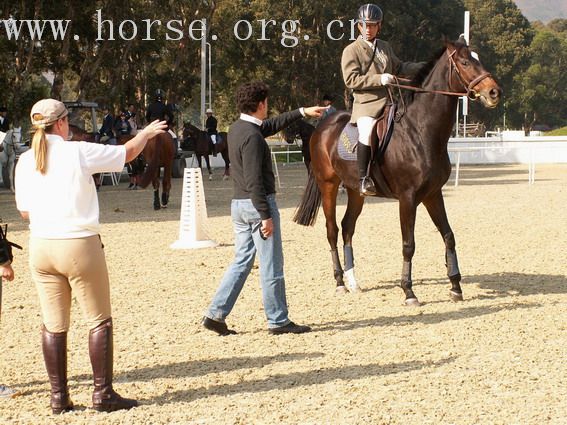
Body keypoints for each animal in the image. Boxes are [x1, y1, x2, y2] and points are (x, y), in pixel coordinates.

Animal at [296, 35, 504, 302]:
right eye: (466, 62)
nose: (494, 92)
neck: (421, 130)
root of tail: (322, 127)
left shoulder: (433, 194)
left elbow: (448, 235)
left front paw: (455, 286)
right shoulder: (408, 198)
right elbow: (409, 244)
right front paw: (408, 291)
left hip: (355, 191)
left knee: (347, 228)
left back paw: (353, 281)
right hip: (328, 186)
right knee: (332, 230)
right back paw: (340, 281)